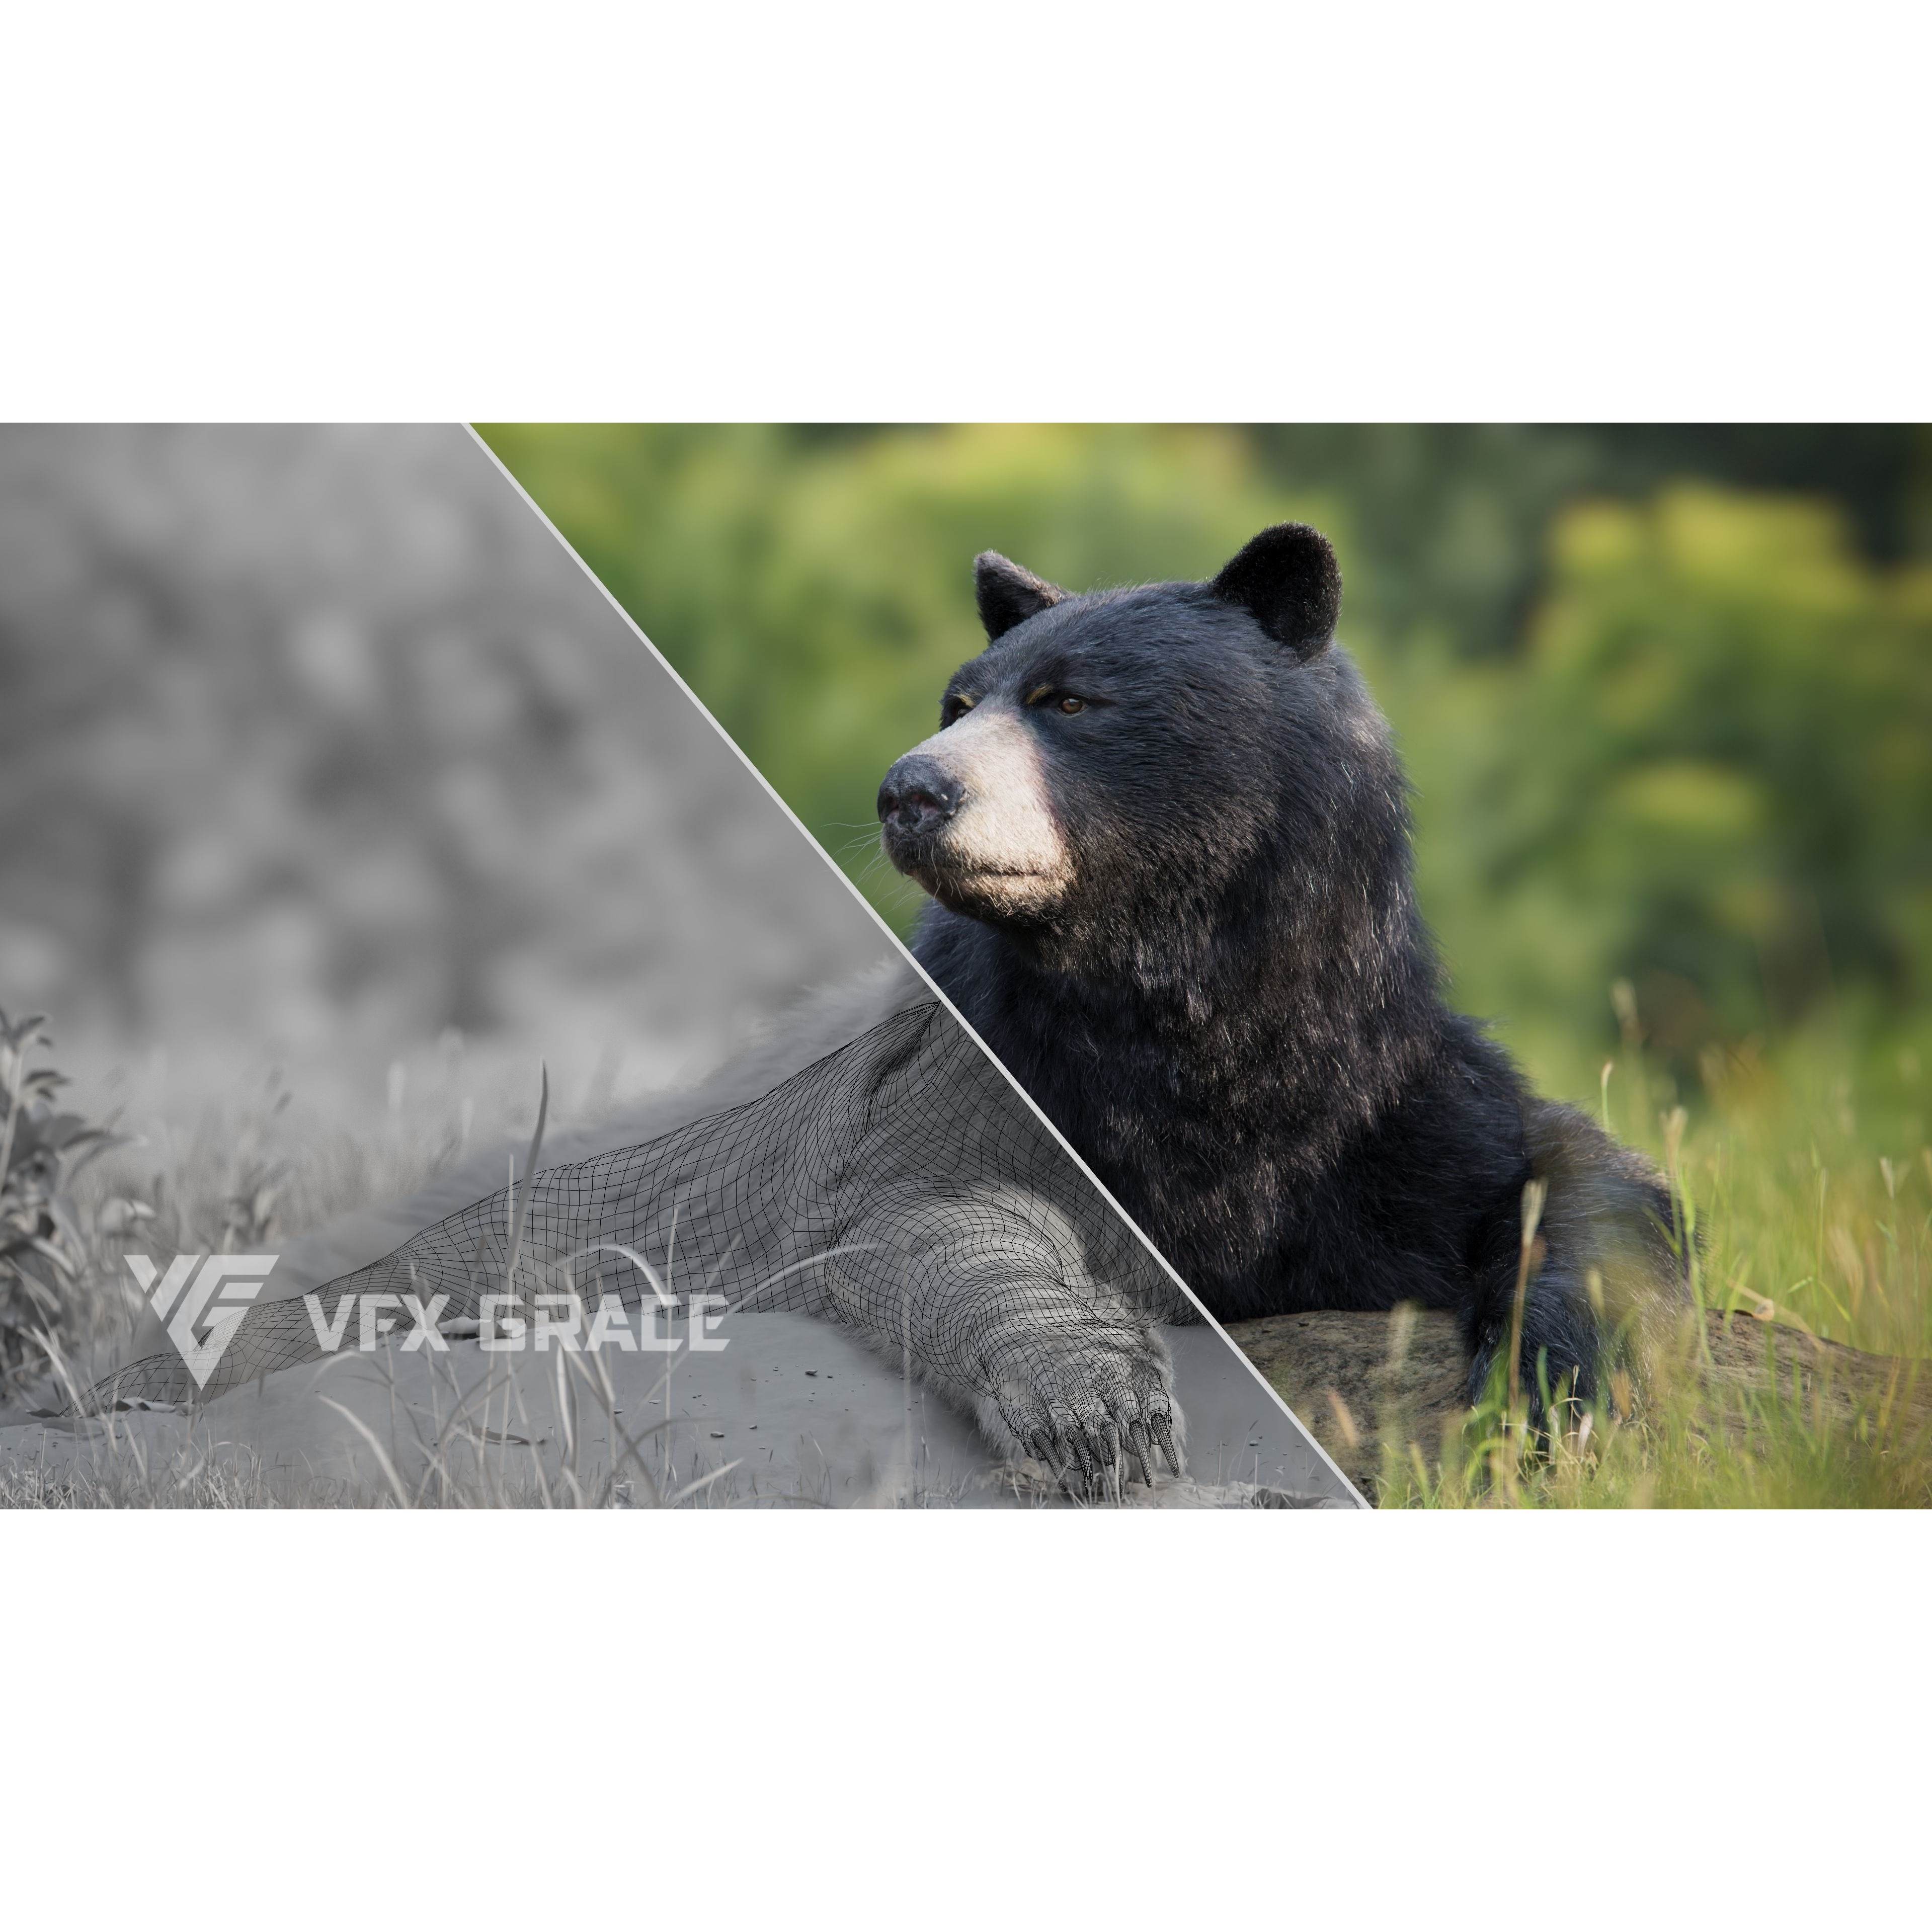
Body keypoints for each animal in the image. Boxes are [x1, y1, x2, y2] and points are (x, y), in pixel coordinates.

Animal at [877, 522, 1688, 1418]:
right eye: (958, 706)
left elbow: (1573, 1174)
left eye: (1068, 702)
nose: (911, 793)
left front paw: (1548, 1388)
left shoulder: (1383, 1102)